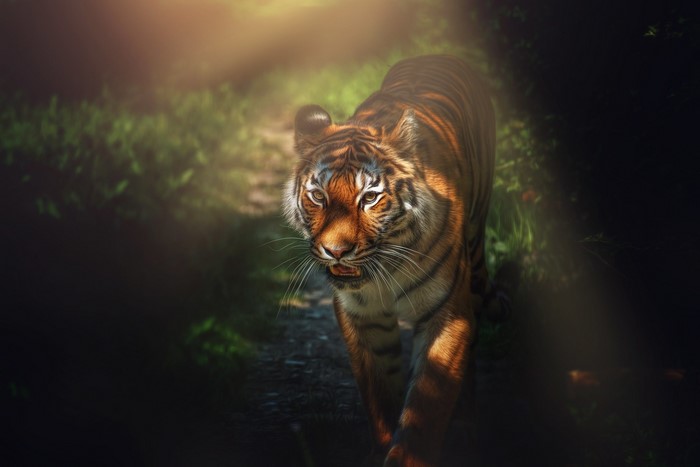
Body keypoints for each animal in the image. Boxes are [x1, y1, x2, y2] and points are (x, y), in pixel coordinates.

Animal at [283, 55, 496, 466]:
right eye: (318, 196)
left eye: (369, 198)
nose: (336, 251)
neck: (386, 269)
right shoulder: (361, 315)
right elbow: (380, 393)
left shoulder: (449, 313)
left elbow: (426, 406)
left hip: (476, 267)